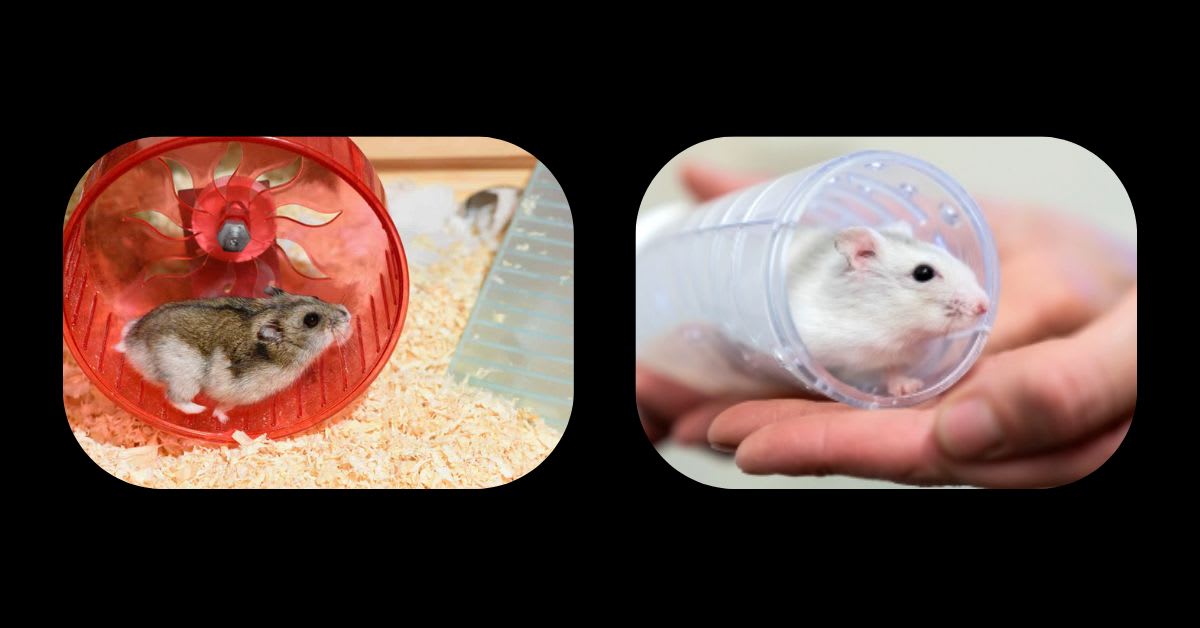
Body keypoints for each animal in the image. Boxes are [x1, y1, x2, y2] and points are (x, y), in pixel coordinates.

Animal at [114, 286, 352, 424]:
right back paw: (200, 410)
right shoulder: (240, 393)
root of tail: (133, 344)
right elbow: (225, 405)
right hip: (184, 380)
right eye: (311, 320)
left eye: (315, 295)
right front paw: (221, 417)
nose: (347, 315)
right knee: (174, 398)